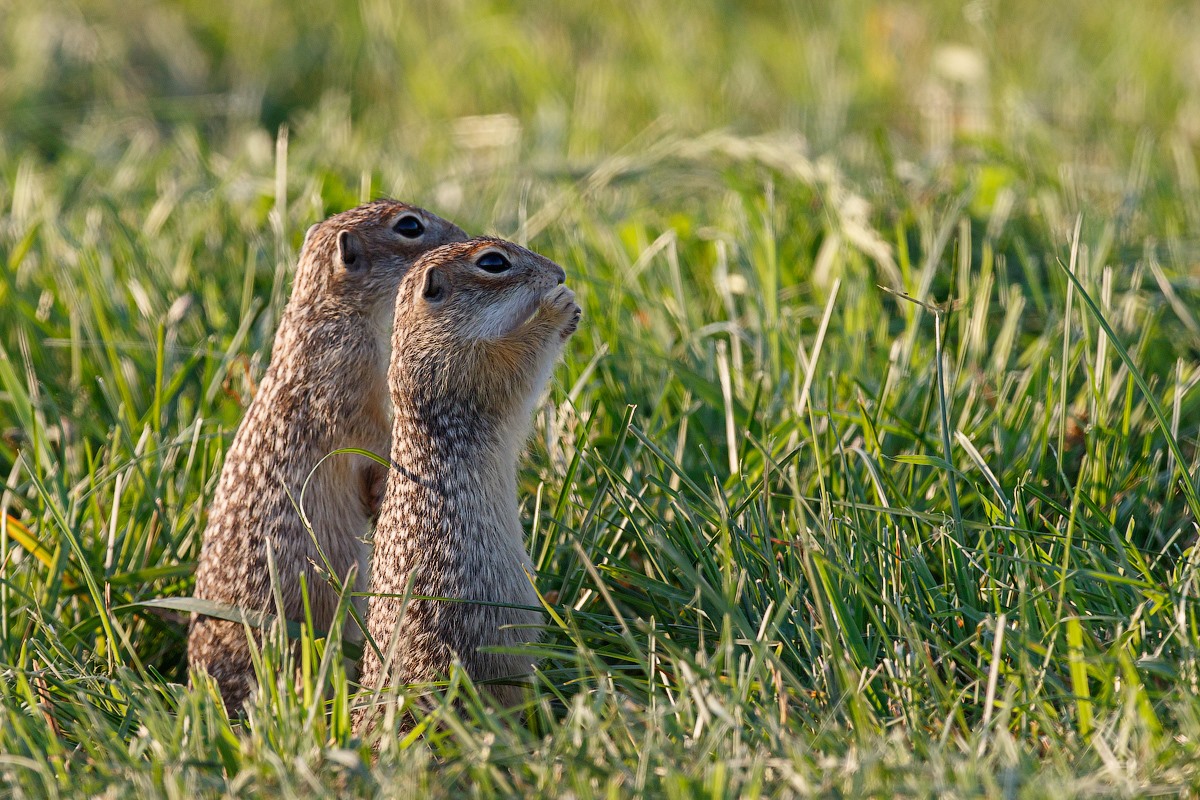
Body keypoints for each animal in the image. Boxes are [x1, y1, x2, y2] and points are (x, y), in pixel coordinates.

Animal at [355, 235, 580, 729]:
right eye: (493, 263)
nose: (560, 273)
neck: (425, 340)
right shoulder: (469, 368)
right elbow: (517, 361)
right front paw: (558, 309)